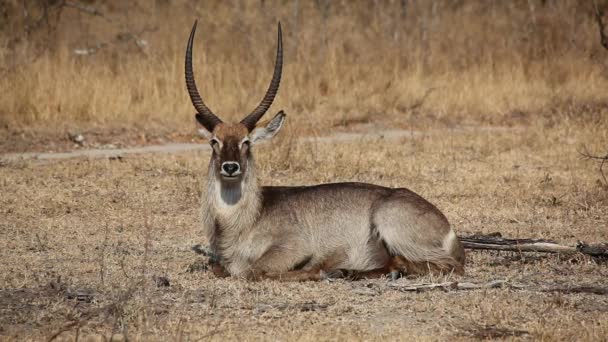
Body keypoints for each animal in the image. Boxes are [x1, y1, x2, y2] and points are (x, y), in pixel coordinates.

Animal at [186, 22, 466, 284]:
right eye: (214, 141)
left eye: (246, 142)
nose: (230, 167)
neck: (245, 220)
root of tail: (448, 229)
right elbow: (219, 267)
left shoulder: (294, 246)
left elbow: (251, 271)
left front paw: (318, 271)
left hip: (389, 222)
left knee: (445, 266)